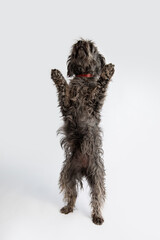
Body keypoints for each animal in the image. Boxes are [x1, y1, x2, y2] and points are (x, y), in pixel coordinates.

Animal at [50, 39, 114, 225]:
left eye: (91, 46)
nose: (80, 42)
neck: (82, 78)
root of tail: (83, 169)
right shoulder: (66, 105)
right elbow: (63, 89)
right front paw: (57, 75)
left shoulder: (94, 105)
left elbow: (99, 88)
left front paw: (107, 71)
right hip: (67, 175)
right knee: (72, 194)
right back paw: (68, 208)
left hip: (97, 177)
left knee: (97, 198)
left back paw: (97, 216)